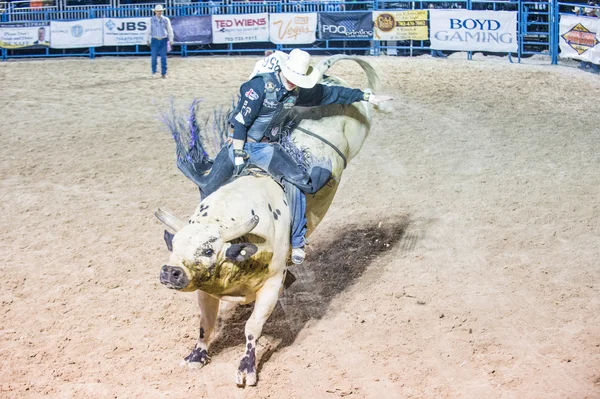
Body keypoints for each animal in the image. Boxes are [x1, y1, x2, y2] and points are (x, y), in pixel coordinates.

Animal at [157, 54, 384, 386]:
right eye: (174, 245)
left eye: (208, 249)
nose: (170, 272)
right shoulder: (205, 289)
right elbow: (205, 323)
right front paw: (196, 356)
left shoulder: (272, 284)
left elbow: (252, 328)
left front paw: (246, 368)